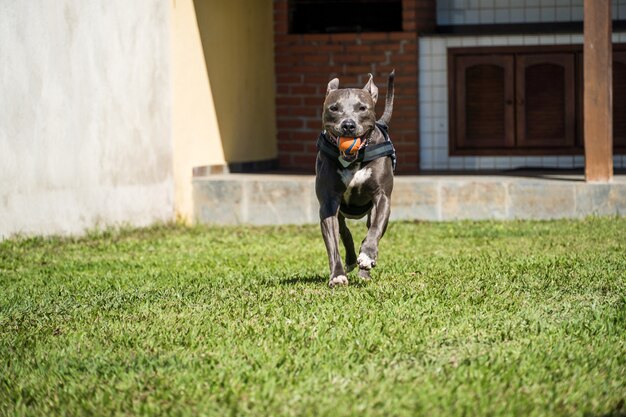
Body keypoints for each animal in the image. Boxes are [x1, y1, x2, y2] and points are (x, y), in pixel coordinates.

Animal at [312, 70, 394, 286]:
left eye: (362, 108)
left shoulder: (382, 197)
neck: (354, 160)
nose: (348, 125)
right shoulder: (328, 203)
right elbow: (333, 244)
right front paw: (337, 275)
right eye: (334, 108)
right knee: (344, 232)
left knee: (370, 228)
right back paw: (350, 261)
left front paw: (367, 256)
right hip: (339, 213)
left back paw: (364, 270)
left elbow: (374, 230)